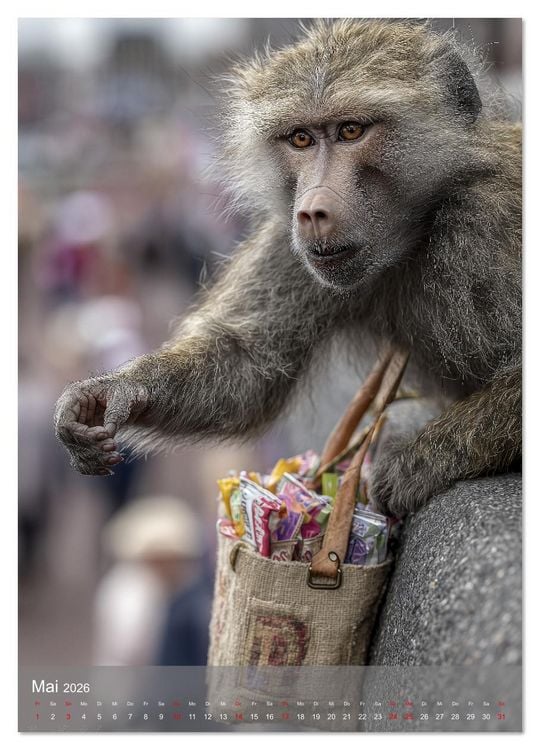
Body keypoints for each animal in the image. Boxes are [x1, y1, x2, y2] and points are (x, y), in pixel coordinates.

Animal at [54, 19, 521, 517]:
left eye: (351, 131)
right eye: (301, 139)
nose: (312, 211)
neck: (425, 225)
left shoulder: (493, 220)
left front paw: (418, 461)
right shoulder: (289, 243)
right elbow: (248, 366)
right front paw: (110, 393)